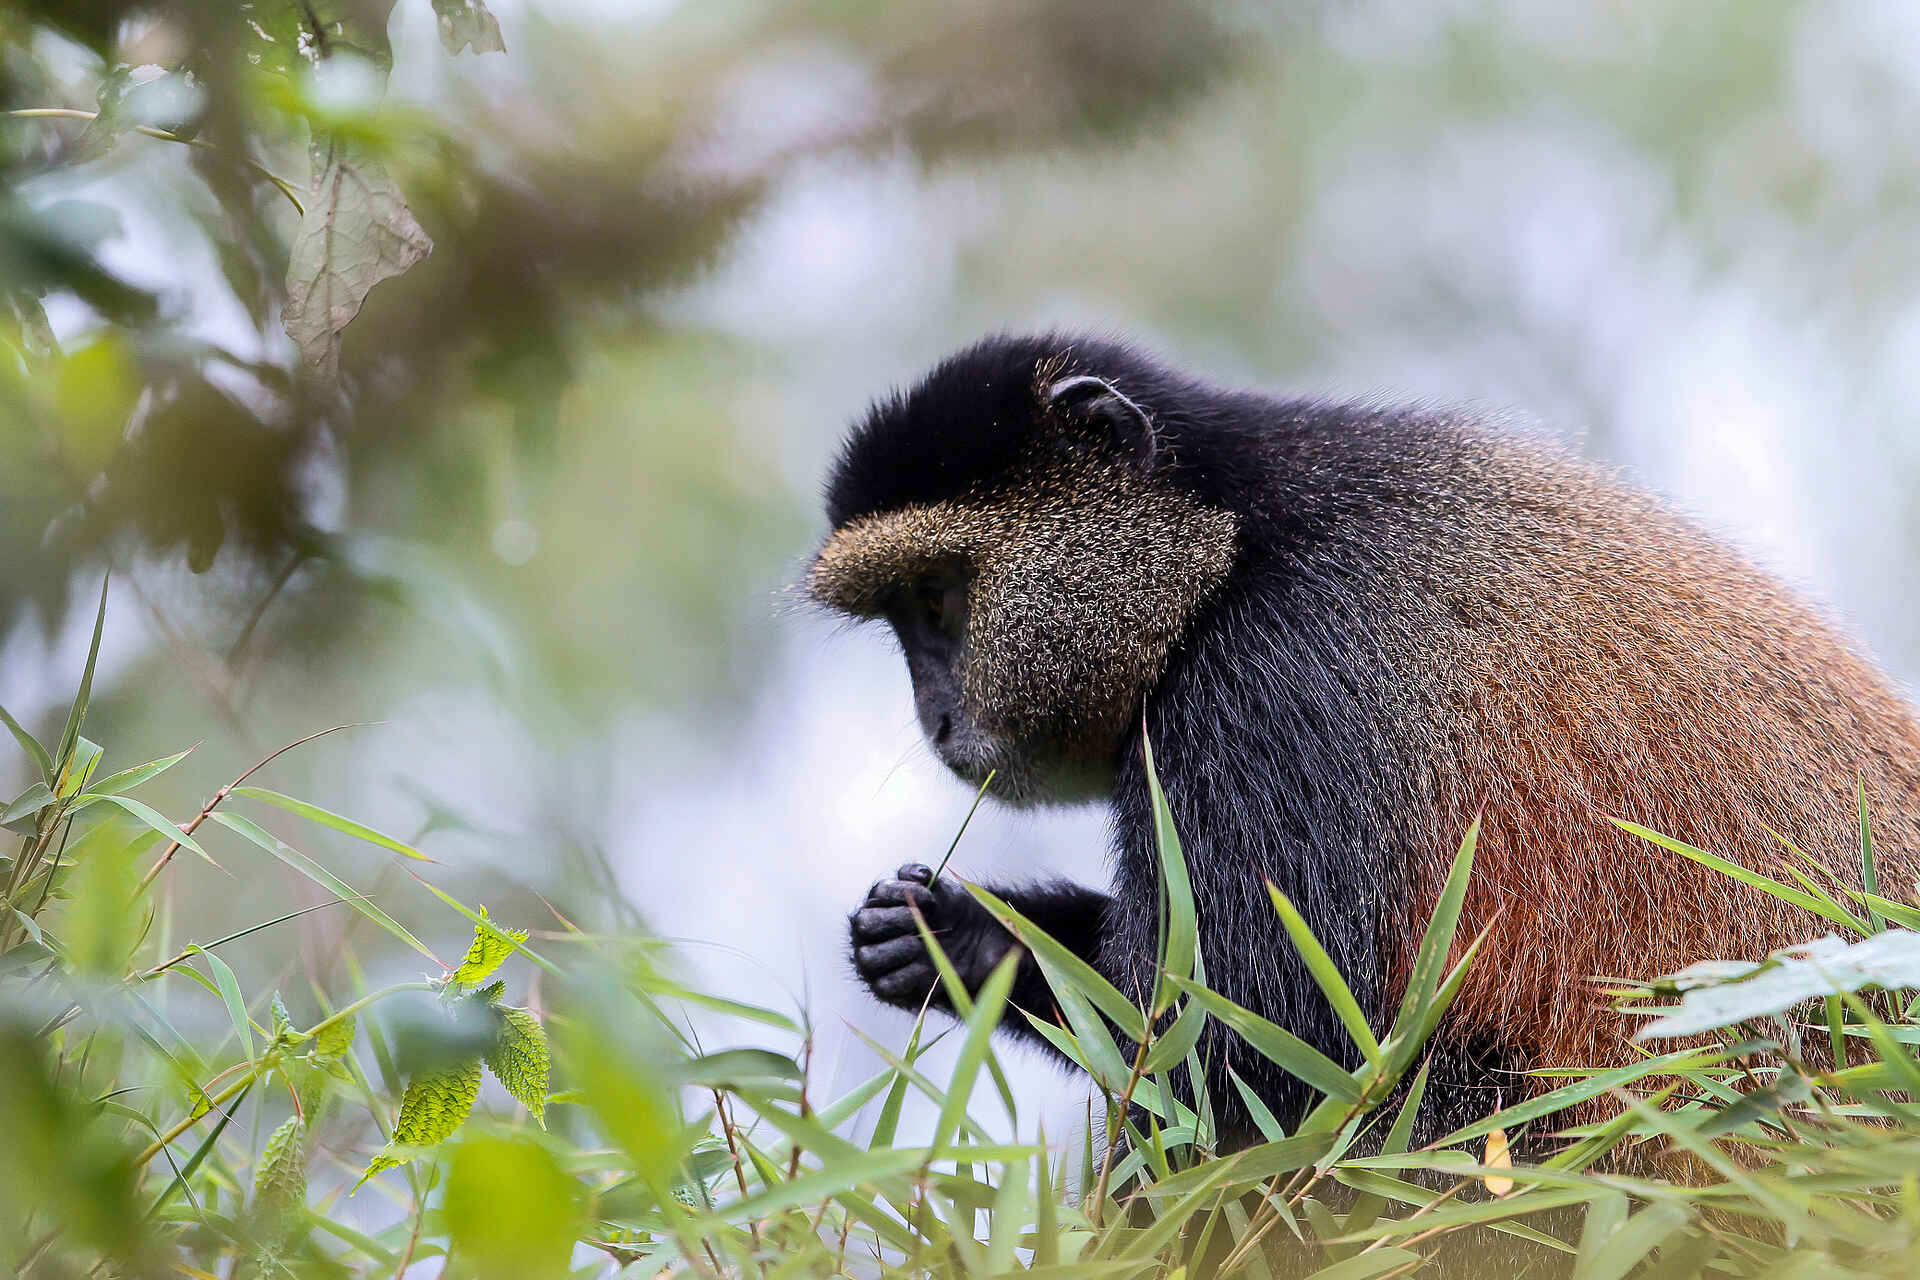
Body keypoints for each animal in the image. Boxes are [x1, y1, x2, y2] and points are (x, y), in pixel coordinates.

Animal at [809, 332, 1920, 1159]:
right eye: (905, 616)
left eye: (937, 602)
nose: (937, 717)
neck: (1231, 536)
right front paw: (962, 935)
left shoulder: (1263, 686)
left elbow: (1249, 1057)